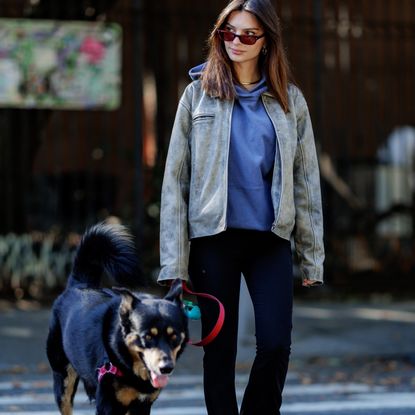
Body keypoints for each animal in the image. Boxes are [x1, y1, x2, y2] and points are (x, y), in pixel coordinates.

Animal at [46, 226, 188, 414]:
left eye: (174, 337)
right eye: (147, 337)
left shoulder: (143, 404)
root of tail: (79, 285)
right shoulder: (108, 404)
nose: (166, 368)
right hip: (63, 380)